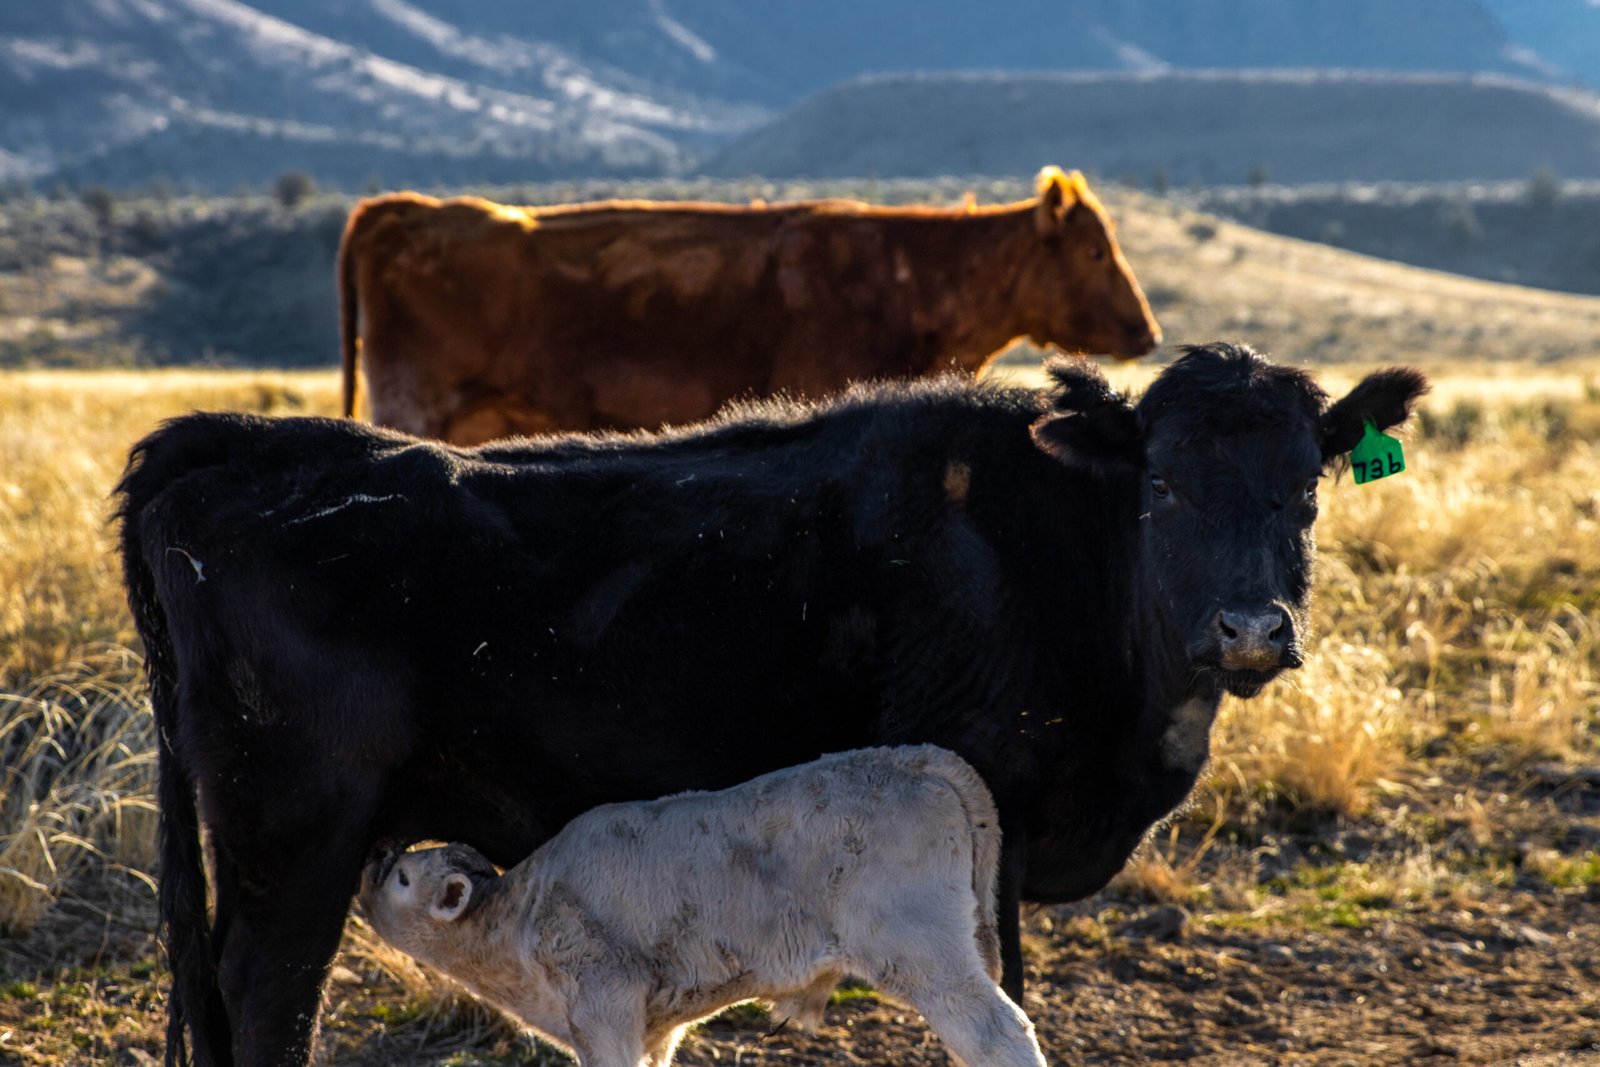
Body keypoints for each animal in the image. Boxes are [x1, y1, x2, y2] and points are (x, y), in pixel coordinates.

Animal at [358, 746, 1046, 1067]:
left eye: (403, 878)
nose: (373, 860)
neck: (519, 919)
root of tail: (918, 756)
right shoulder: (654, 1023)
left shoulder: (603, 1001)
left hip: (923, 952)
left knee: (998, 1032)